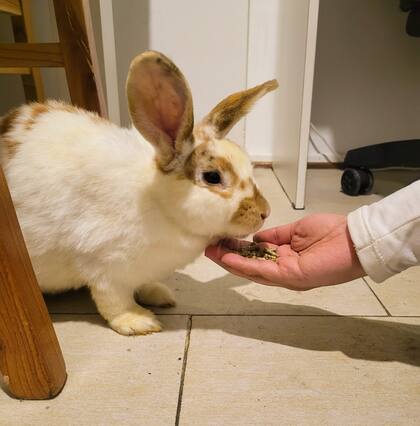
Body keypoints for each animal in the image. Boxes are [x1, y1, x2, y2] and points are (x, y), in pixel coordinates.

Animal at [0, 50, 278, 336]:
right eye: (212, 177)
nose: (265, 212)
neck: (158, 203)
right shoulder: (105, 268)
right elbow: (114, 300)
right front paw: (139, 322)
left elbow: (144, 284)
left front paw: (159, 295)